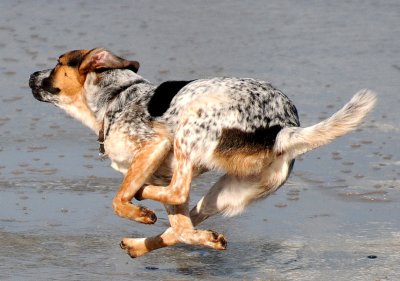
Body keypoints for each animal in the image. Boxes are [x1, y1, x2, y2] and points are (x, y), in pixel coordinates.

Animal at [29, 48, 376, 256]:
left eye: (59, 63)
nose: (31, 75)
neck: (117, 96)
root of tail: (282, 127)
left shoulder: (155, 146)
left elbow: (120, 199)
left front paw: (137, 208)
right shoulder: (158, 167)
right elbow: (180, 224)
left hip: (188, 129)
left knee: (175, 193)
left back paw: (145, 202)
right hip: (228, 192)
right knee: (184, 218)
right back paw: (151, 242)